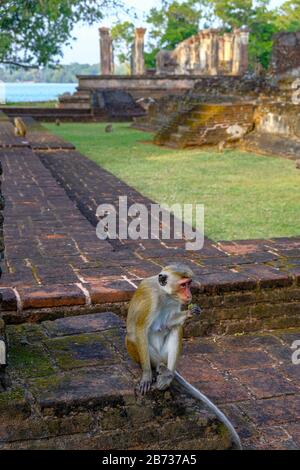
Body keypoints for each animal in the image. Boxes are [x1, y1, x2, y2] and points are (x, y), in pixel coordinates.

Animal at [125, 262, 243, 450]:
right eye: (183, 285)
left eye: (189, 284)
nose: (189, 294)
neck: (165, 293)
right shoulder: (151, 298)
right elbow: (140, 329)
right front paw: (146, 375)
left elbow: (169, 323)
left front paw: (191, 312)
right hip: (139, 351)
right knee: (134, 337)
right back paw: (157, 368)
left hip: (164, 354)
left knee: (176, 328)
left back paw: (168, 373)